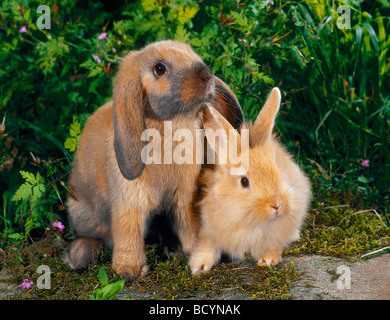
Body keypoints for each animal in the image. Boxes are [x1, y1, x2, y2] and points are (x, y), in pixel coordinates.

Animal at [62, 40, 242, 280]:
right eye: (159, 68)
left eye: (191, 52)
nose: (207, 77)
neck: (171, 124)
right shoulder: (129, 200)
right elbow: (128, 229)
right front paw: (129, 270)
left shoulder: (185, 196)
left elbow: (188, 222)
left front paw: (197, 251)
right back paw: (80, 254)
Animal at [188, 89, 310, 274]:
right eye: (244, 182)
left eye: (277, 171)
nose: (276, 205)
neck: (249, 220)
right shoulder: (208, 228)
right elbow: (207, 245)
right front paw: (198, 267)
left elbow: (272, 245)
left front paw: (268, 260)